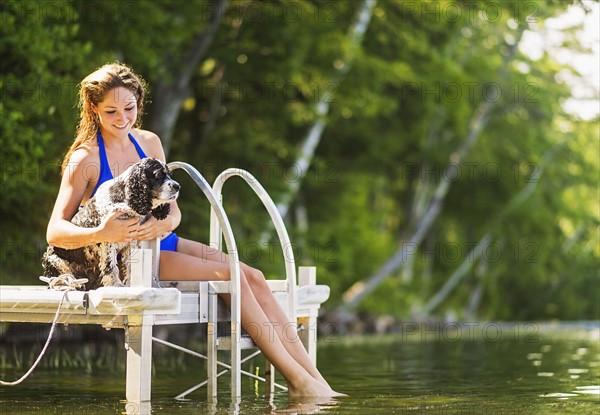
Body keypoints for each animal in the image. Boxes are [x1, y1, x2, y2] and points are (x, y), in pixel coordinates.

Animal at [42, 158, 179, 290]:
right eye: (158, 174)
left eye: (169, 174)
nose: (177, 186)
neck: (124, 202)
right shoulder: (108, 241)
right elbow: (111, 266)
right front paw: (116, 285)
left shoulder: (132, 242)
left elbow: (131, 265)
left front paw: (130, 285)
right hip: (54, 260)